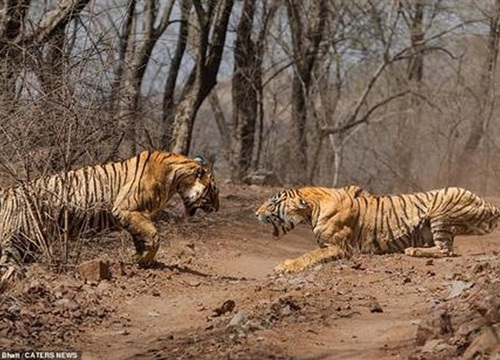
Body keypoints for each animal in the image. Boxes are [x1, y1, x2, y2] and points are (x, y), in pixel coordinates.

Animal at [0, 150, 219, 282]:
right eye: (214, 190)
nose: (218, 208)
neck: (177, 180)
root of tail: (8, 191)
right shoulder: (127, 210)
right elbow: (154, 237)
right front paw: (143, 259)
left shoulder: (136, 215)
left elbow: (141, 238)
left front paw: (140, 259)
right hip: (17, 239)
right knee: (8, 263)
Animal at [258, 187, 500, 274]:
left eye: (272, 203)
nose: (255, 212)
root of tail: (484, 202)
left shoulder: (337, 246)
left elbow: (308, 256)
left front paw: (284, 266)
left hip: (441, 211)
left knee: (447, 251)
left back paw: (413, 250)